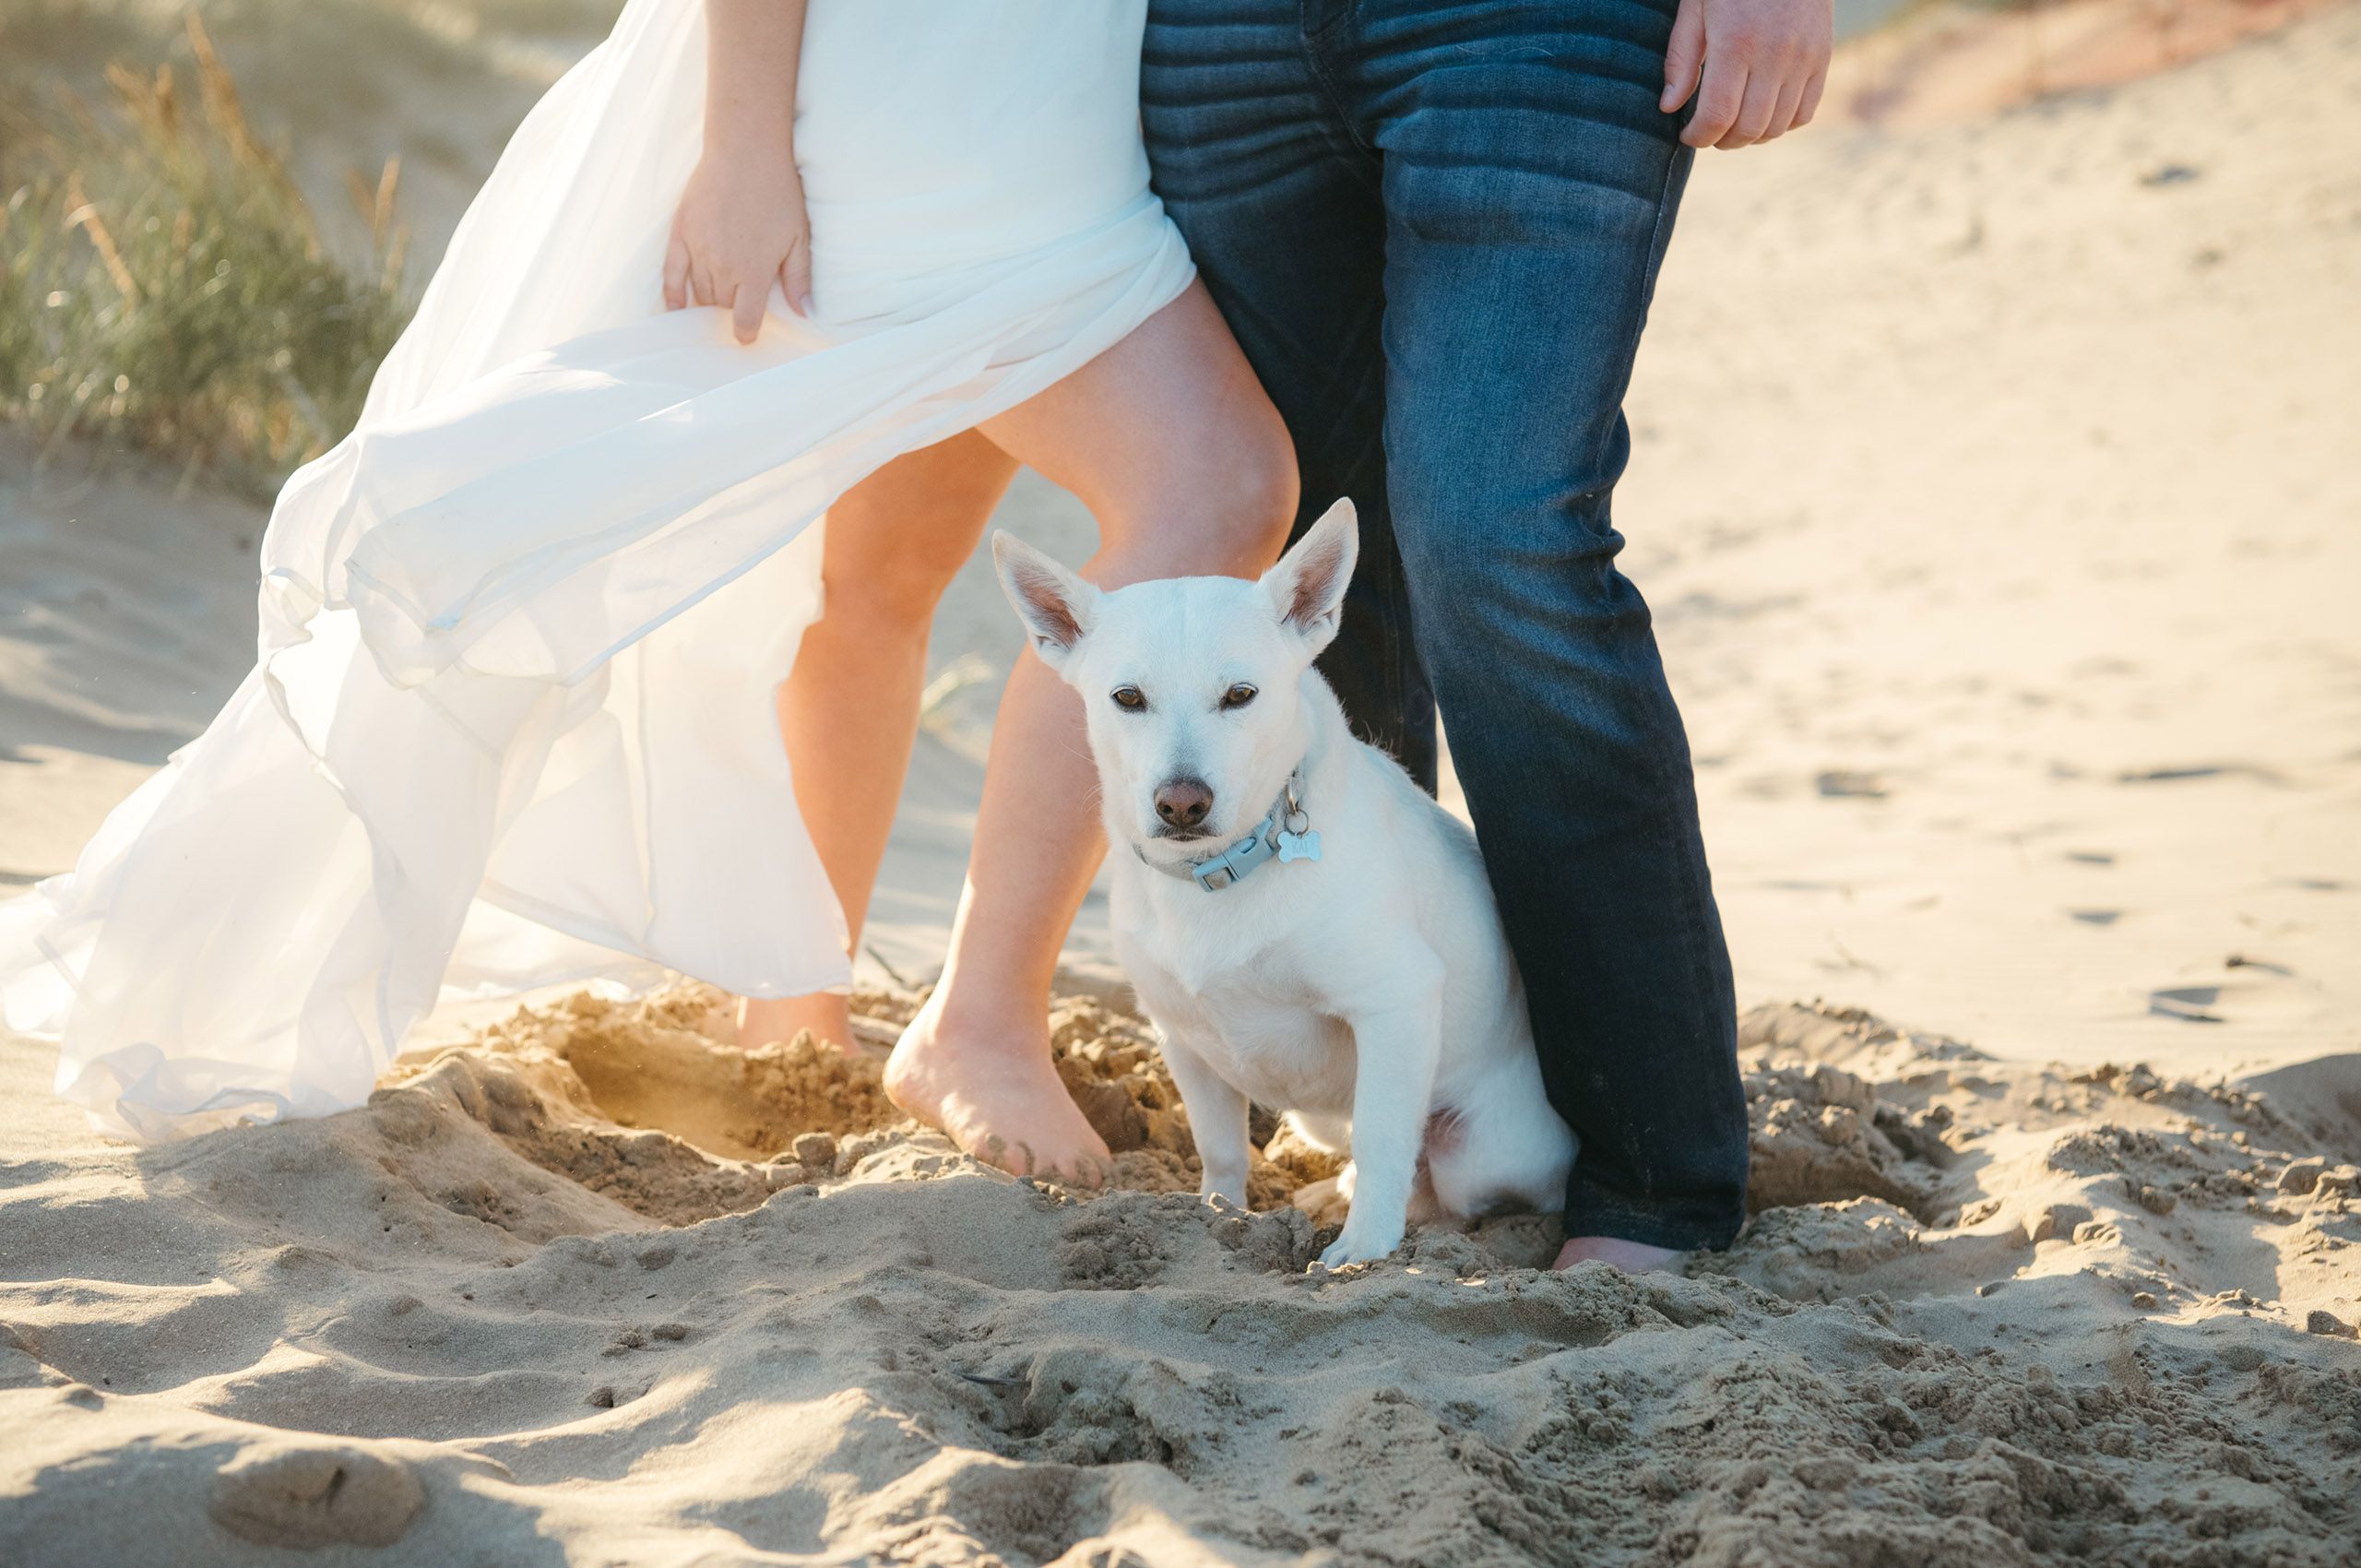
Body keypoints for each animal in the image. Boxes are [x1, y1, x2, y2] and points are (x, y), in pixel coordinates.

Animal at [987, 505, 1577, 1275]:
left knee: (1441, 1187)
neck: (1219, 874)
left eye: (1240, 696)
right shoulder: (1182, 1041)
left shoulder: (1396, 1002)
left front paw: (1364, 1248)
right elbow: (1220, 1147)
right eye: (1127, 699)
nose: (1182, 803)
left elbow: (1386, 1139)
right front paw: (1218, 1216)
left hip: (1479, 1149)